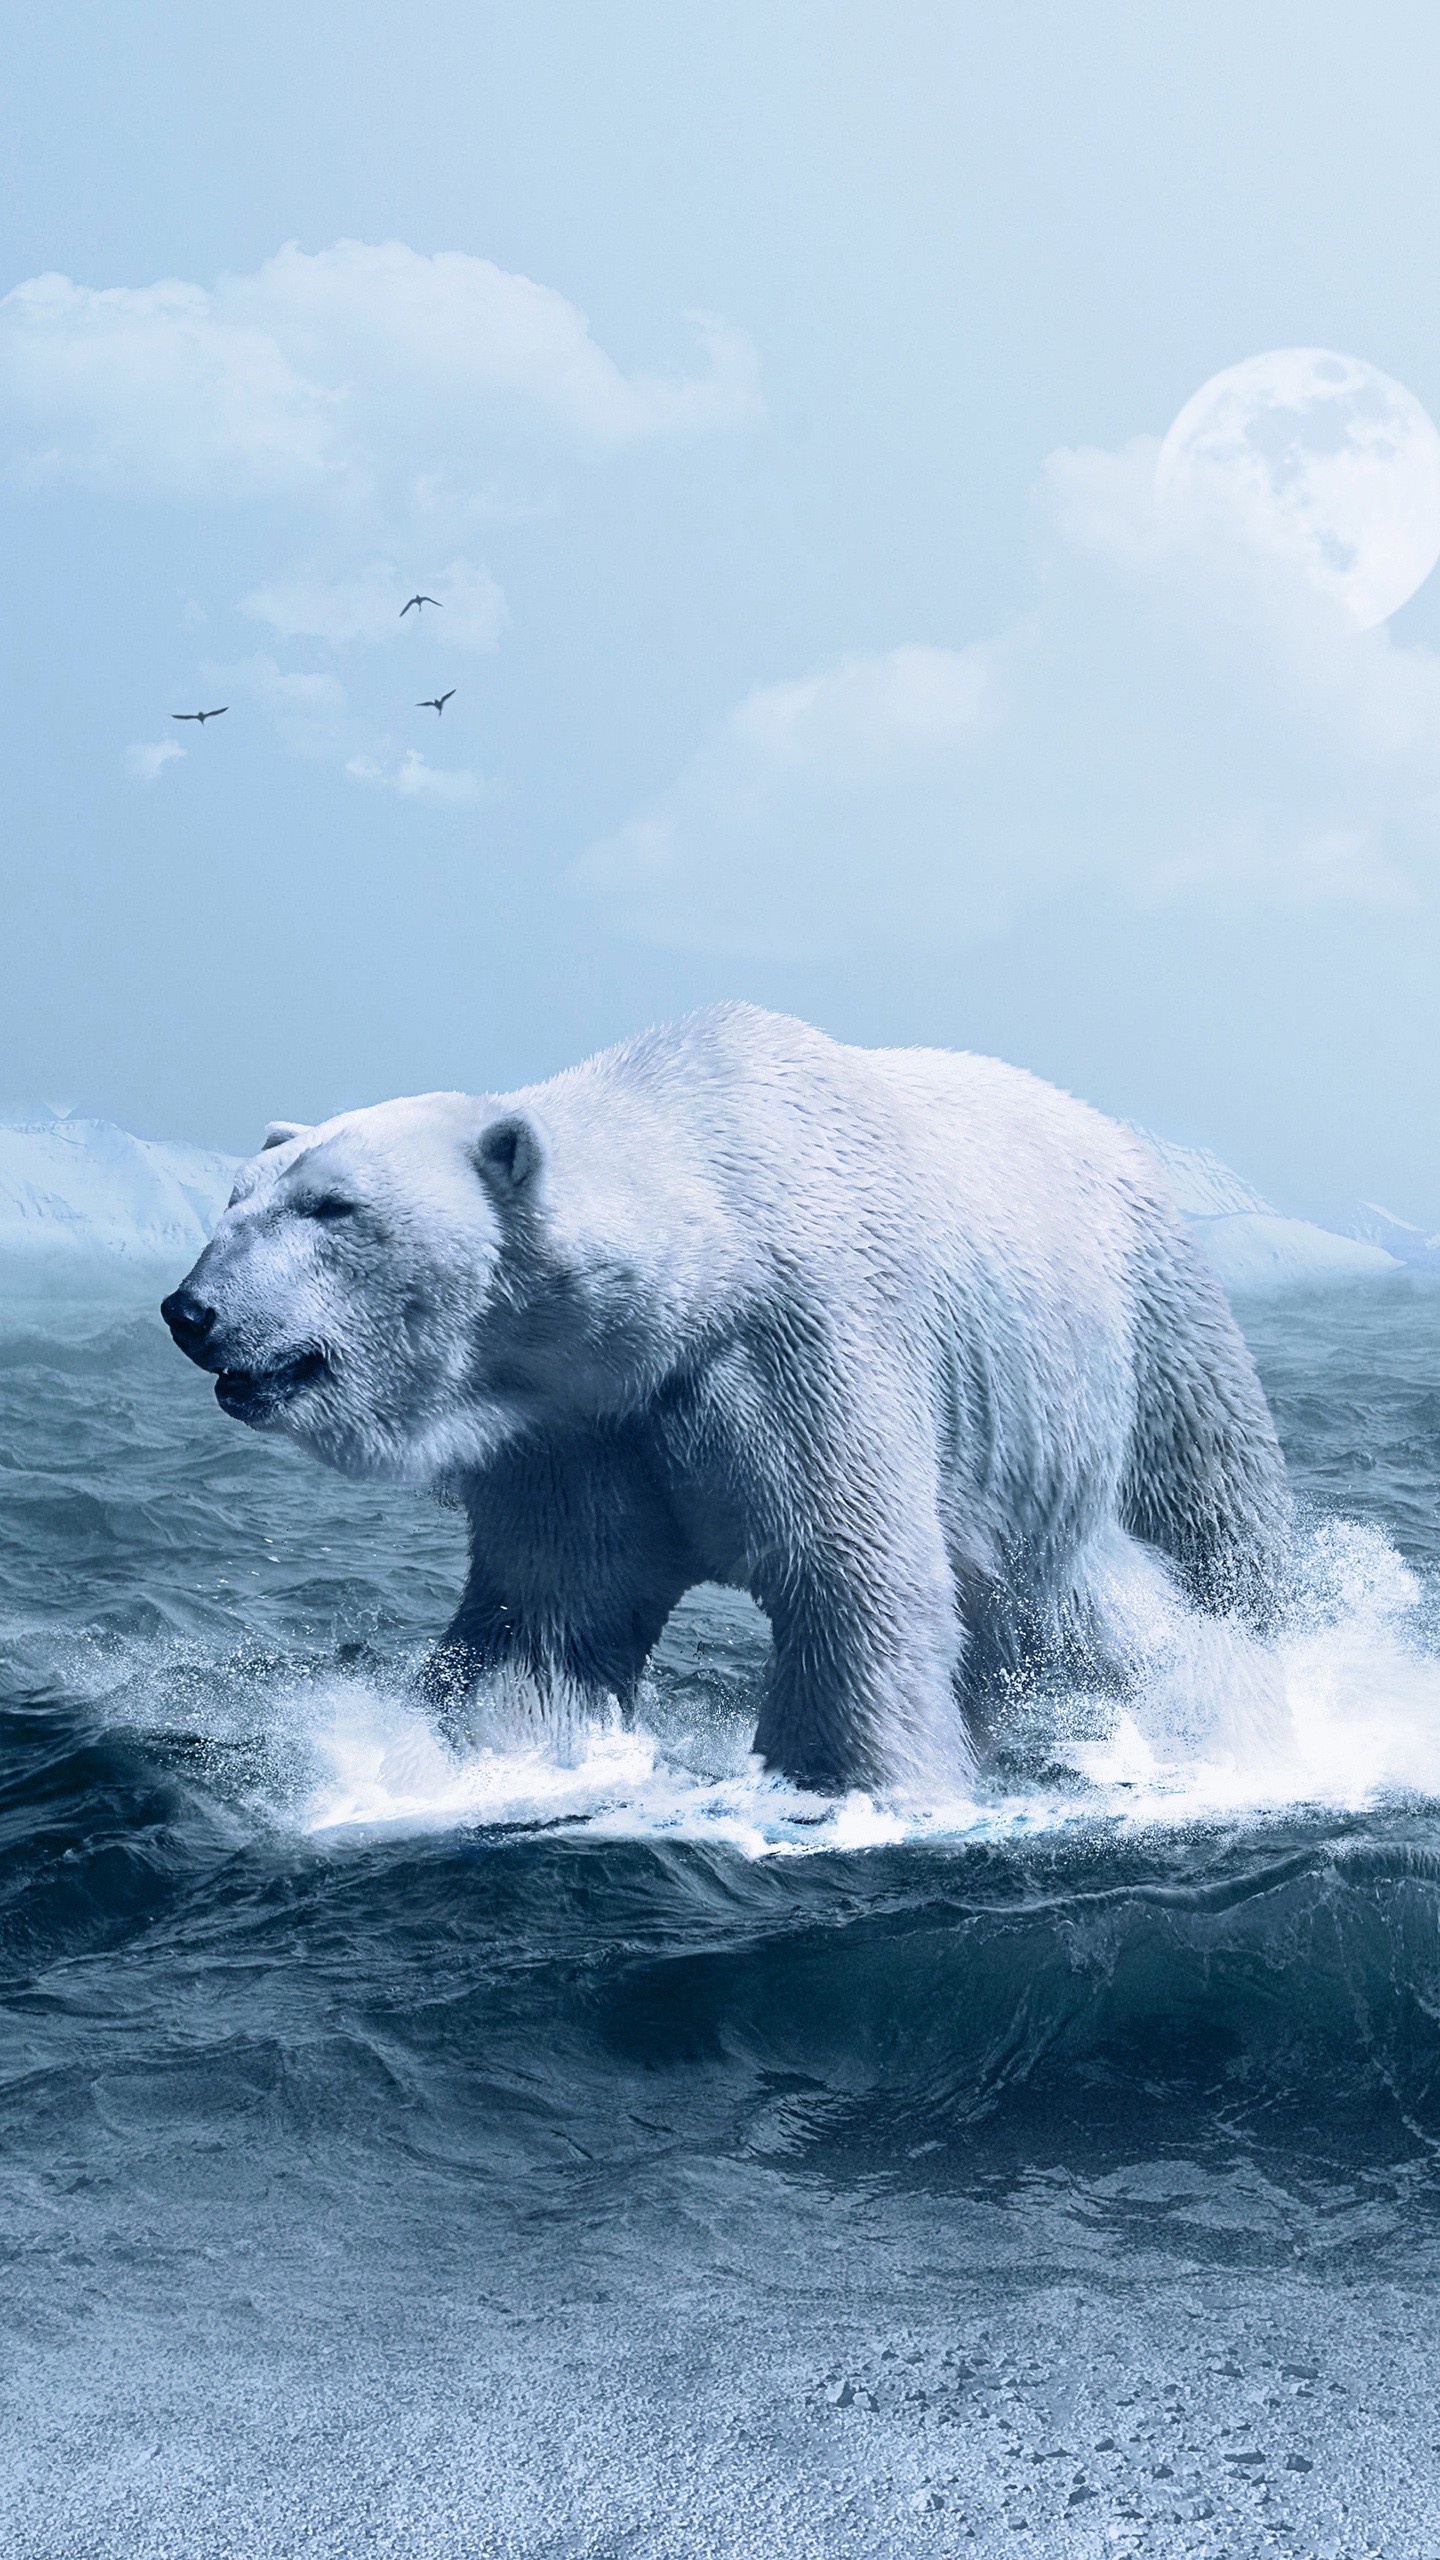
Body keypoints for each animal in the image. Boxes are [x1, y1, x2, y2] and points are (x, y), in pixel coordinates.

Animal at [161, 1004, 1290, 1795]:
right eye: (236, 1198)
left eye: (332, 1206)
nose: (190, 1310)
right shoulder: (581, 1426)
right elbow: (547, 1612)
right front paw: (477, 1754)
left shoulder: (803, 1344)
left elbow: (849, 1574)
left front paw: (849, 1783)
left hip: (1147, 1328)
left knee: (1194, 1530)